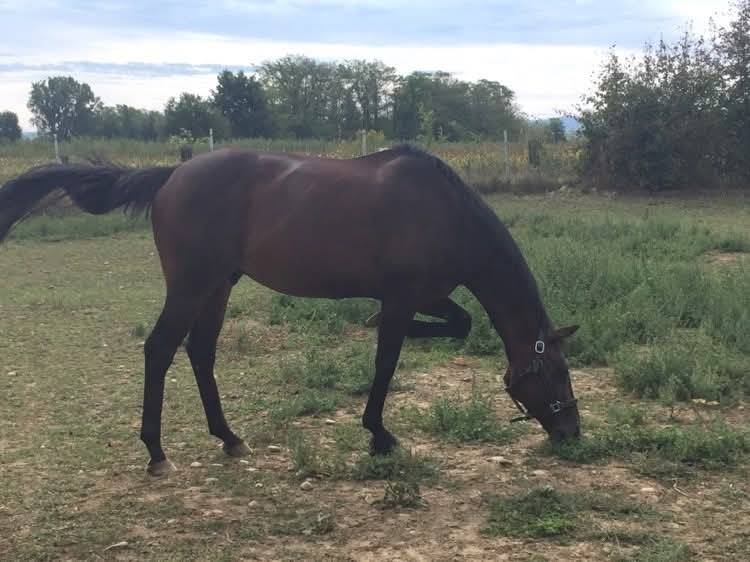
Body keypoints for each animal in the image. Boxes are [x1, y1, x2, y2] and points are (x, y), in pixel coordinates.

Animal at [0, 144, 580, 476]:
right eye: (556, 372)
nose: (572, 433)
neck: (443, 211)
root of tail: (172, 175)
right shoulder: (401, 297)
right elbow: (387, 360)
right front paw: (379, 434)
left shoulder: (424, 294)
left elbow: (457, 323)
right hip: (192, 285)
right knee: (160, 349)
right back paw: (156, 453)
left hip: (218, 286)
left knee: (200, 351)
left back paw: (229, 438)